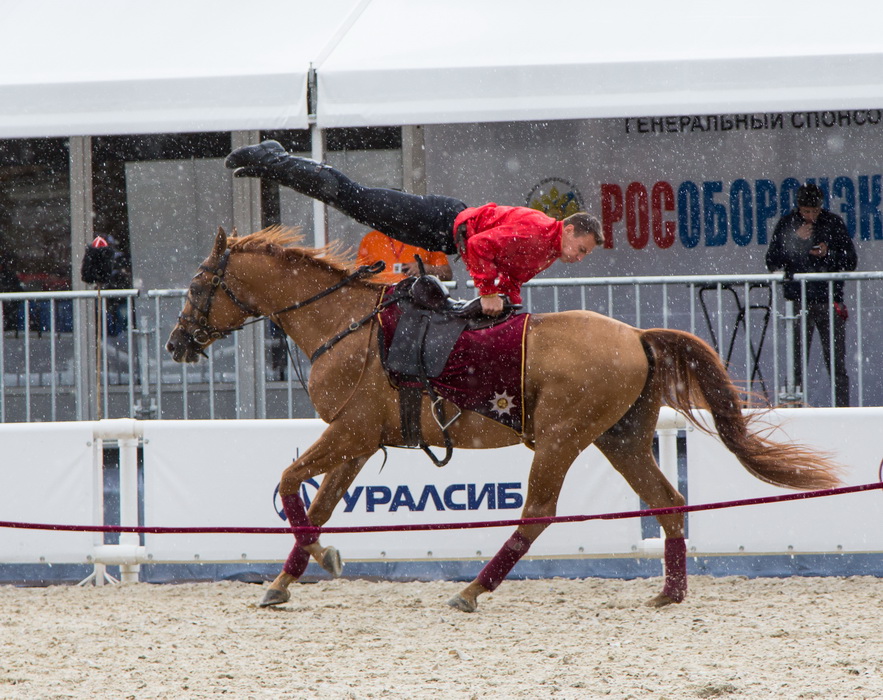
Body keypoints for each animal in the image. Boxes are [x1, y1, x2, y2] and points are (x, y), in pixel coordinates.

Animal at [167, 227, 844, 608]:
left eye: (199, 284)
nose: (176, 343)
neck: (348, 326)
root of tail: (637, 336)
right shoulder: (360, 441)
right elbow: (323, 503)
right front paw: (289, 578)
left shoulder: (350, 431)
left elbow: (289, 483)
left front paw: (319, 561)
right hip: (620, 439)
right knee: (669, 503)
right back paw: (668, 595)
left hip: (561, 440)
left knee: (538, 513)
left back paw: (473, 591)